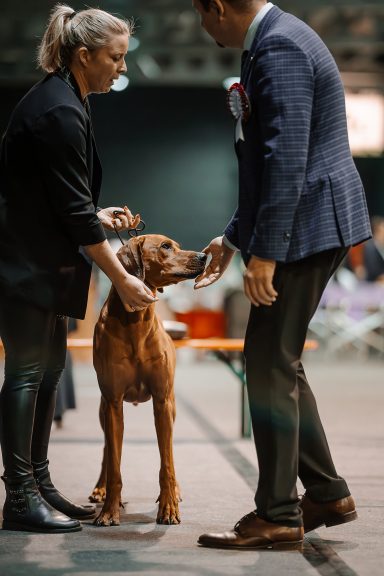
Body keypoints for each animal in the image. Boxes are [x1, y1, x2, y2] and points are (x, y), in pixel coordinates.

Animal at [89, 234, 207, 528]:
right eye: (166, 246)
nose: (204, 256)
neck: (136, 324)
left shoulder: (162, 401)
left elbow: (167, 463)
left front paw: (169, 507)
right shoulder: (113, 401)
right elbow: (115, 465)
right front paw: (109, 510)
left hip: (171, 407)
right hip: (103, 409)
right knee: (107, 449)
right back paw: (100, 488)